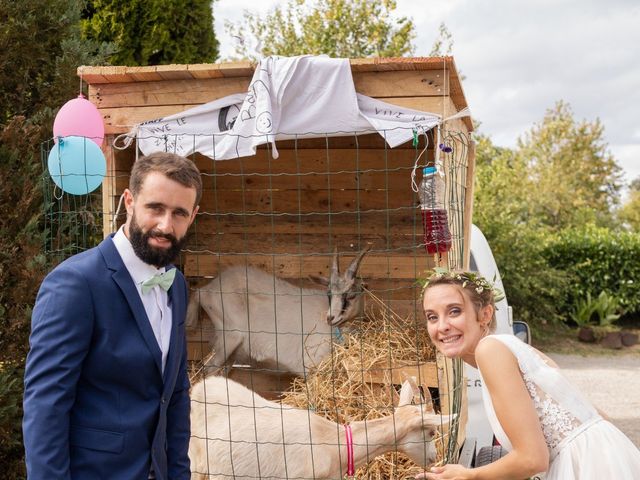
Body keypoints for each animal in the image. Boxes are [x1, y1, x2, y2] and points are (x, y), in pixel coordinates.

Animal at [185, 248, 370, 376]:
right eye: (329, 293)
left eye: (351, 295)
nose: (331, 318)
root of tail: (205, 291)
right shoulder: (309, 365)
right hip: (230, 336)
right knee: (208, 369)